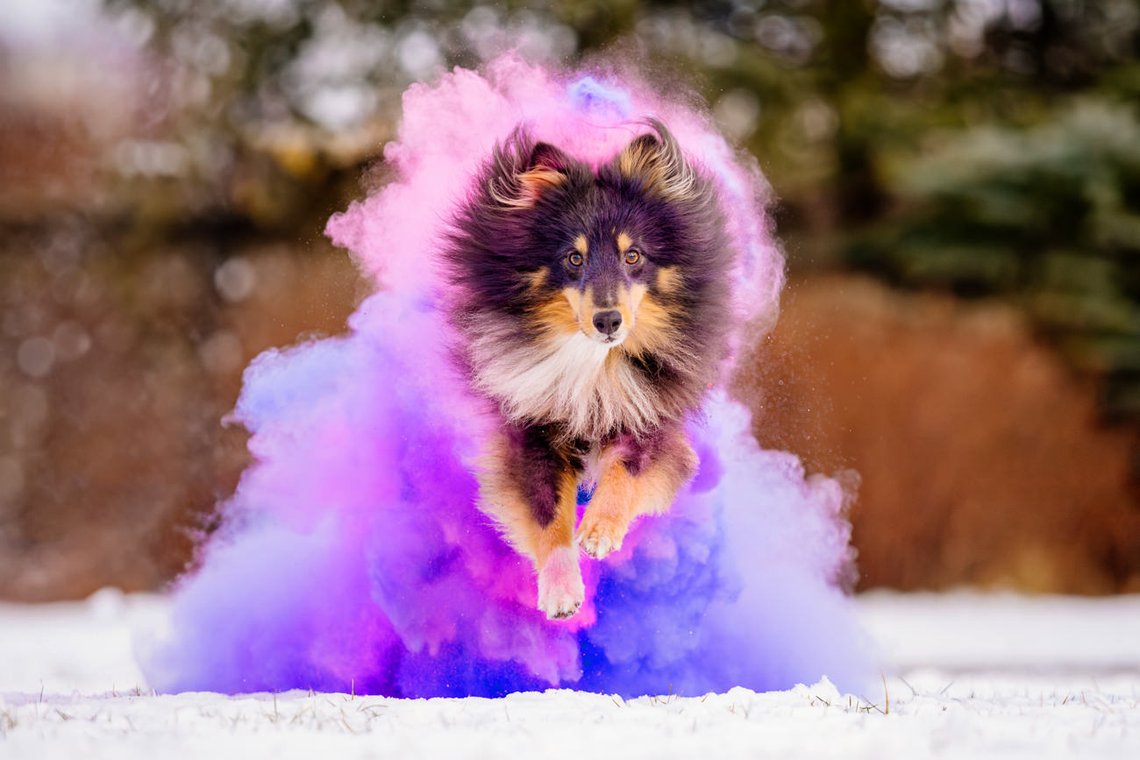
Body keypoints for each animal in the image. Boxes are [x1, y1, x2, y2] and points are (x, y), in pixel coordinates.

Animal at [440, 120, 734, 619]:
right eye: (573, 258)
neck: (595, 364)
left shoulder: (649, 416)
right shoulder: (533, 428)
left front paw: (599, 532)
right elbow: (546, 512)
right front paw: (561, 591)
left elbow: (625, 472)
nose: (608, 321)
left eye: (633, 255)